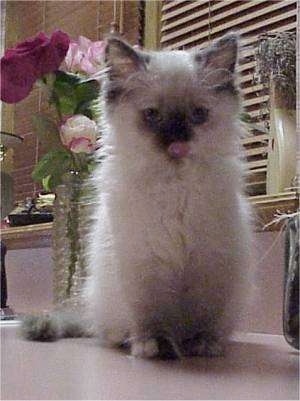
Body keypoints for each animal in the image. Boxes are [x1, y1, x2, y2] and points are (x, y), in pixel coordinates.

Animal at [21, 33, 252, 360]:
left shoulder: (208, 264)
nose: (177, 141)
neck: (174, 186)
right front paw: (154, 346)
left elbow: (204, 318)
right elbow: (150, 317)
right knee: (110, 332)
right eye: (152, 115)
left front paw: (202, 345)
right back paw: (131, 341)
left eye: (198, 115)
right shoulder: (145, 266)